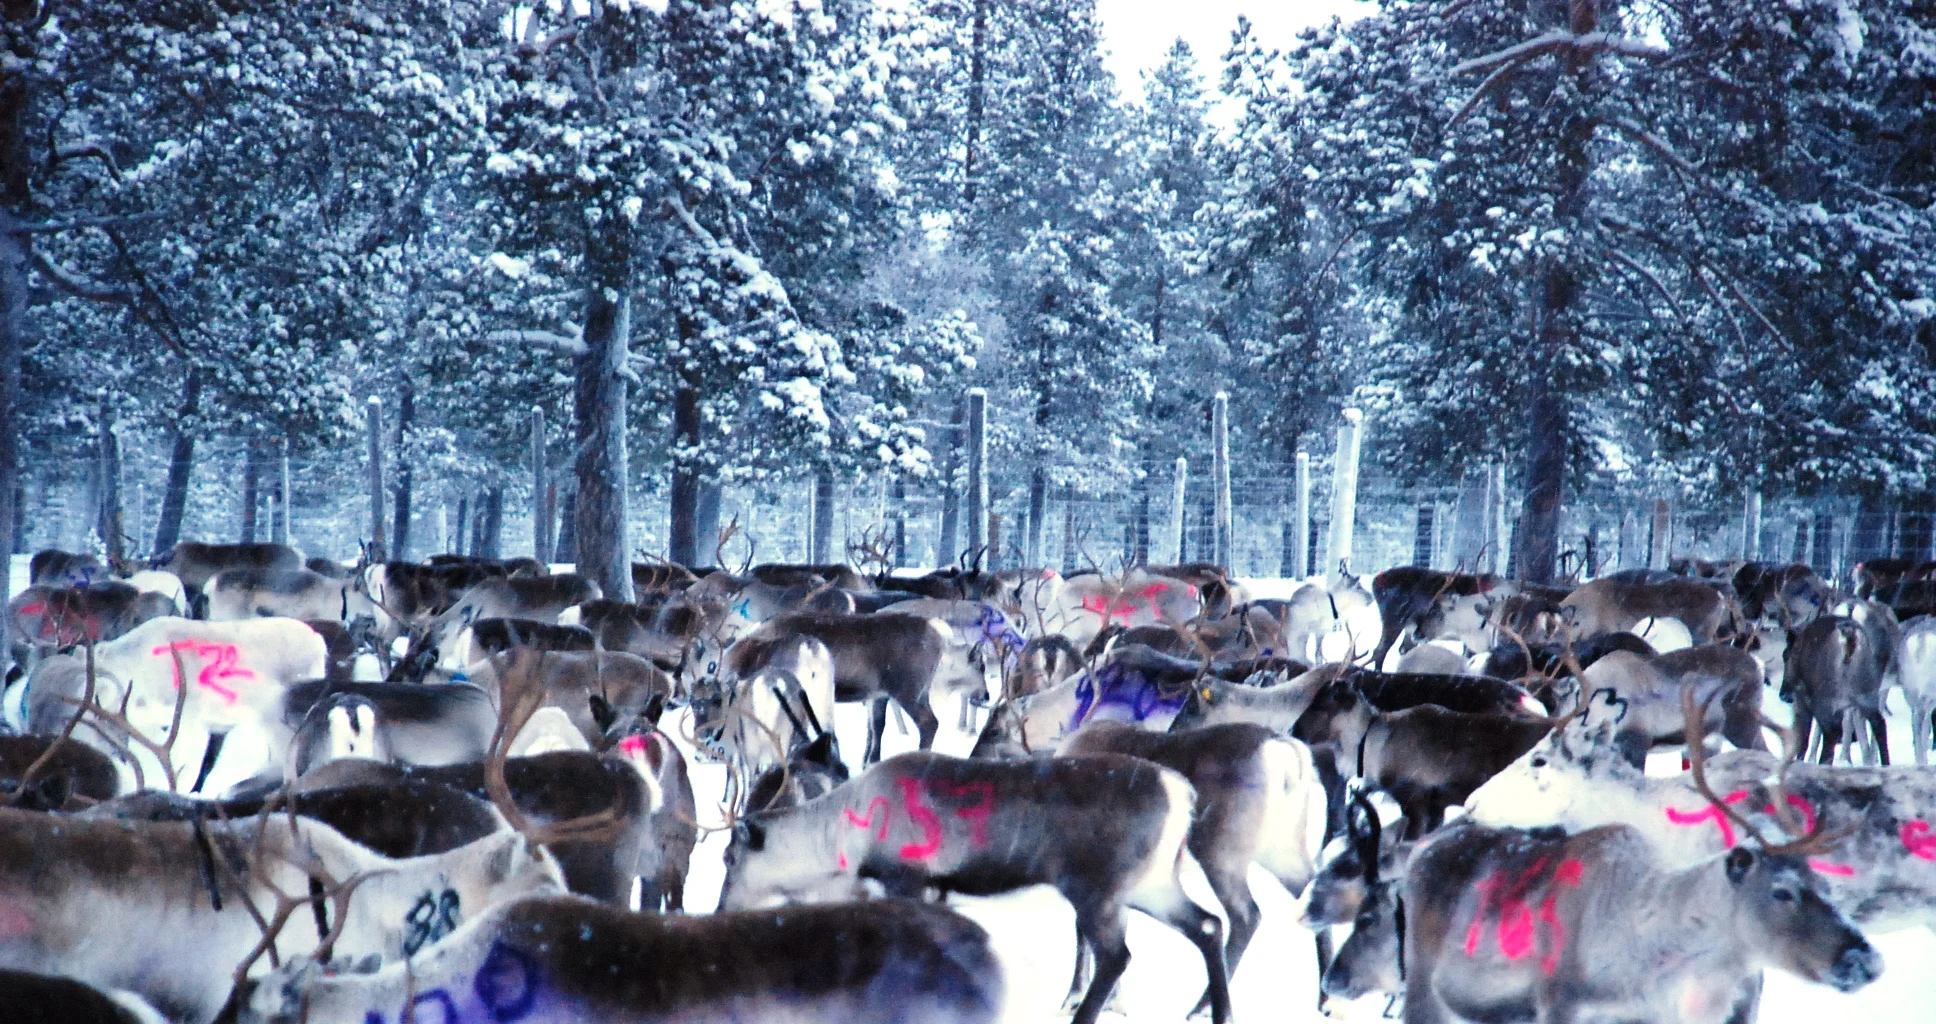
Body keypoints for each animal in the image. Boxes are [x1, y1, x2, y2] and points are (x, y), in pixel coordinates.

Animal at [718, 750, 1234, 1024]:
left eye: (728, 857)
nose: (721, 910)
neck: (840, 840)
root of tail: (1183, 794)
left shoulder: (909, 881)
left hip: (1098, 892)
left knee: (1117, 956)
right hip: (1151, 886)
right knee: (1209, 925)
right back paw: (1220, 1013)